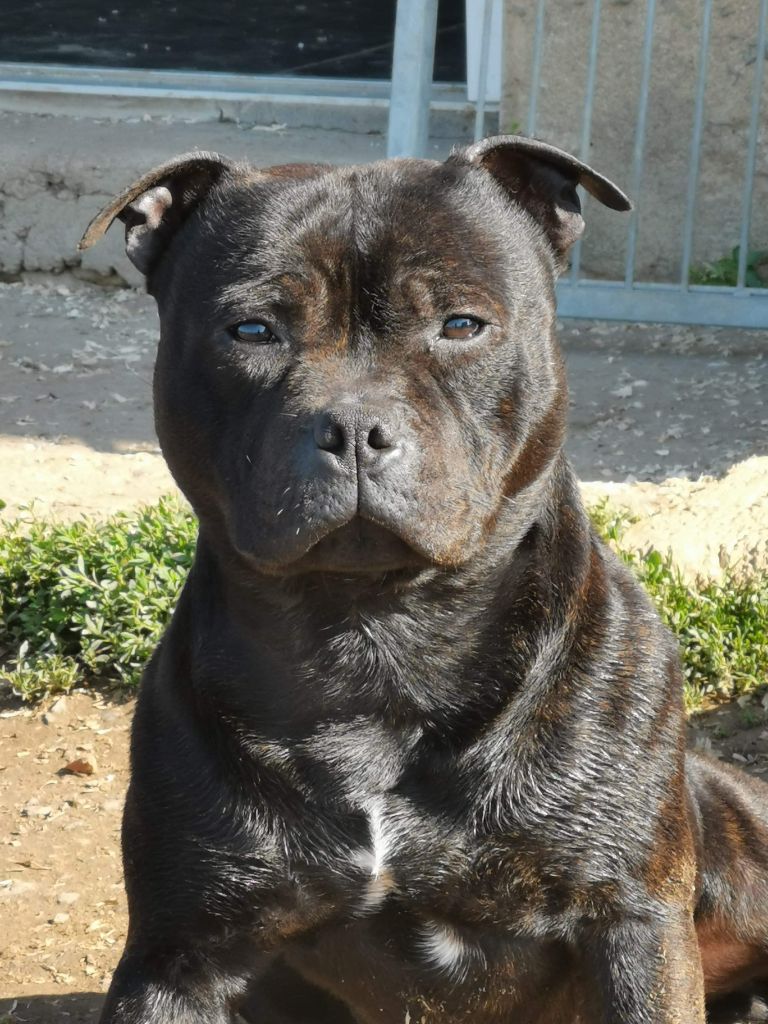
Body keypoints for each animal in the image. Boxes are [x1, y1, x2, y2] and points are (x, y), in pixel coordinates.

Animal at [80, 135, 768, 1023]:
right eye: (252, 329)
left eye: (462, 325)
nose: (354, 427)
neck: (376, 638)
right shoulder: (180, 956)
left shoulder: (632, 923)